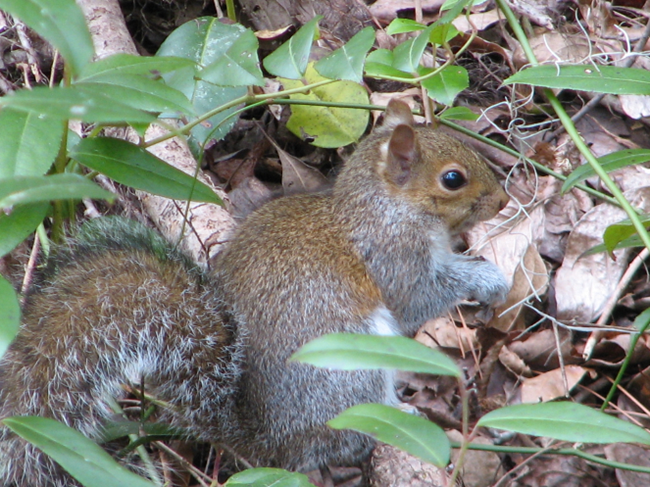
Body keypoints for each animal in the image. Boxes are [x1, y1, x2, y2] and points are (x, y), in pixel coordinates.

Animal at [0, 99, 510, 486]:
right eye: (453, 178)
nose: (504, 200)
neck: (384, 205)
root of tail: (262, 439)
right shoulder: (391, 256)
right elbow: (417, 297)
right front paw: (488, 280)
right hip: (351, 368)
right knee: (347, 437)